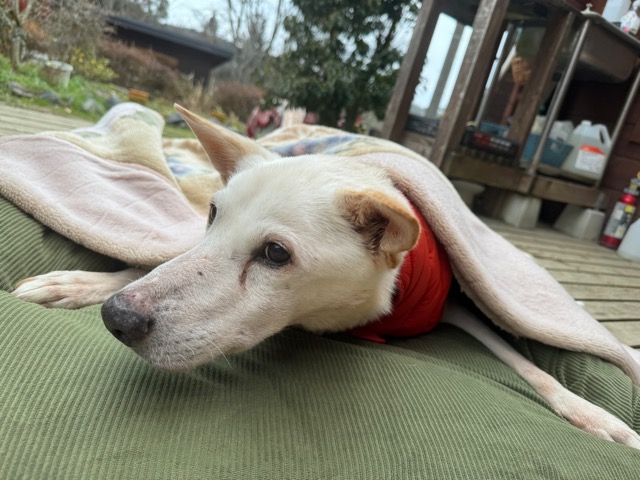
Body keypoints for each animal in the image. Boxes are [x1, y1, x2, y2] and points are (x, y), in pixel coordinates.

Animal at [12, 105, 640, 449]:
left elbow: (526, 363)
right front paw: (80, 282)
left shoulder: (462, 303)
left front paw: (591, 414)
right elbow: (148, 262)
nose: (117, 317)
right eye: (213, 215)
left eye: (275, 254)